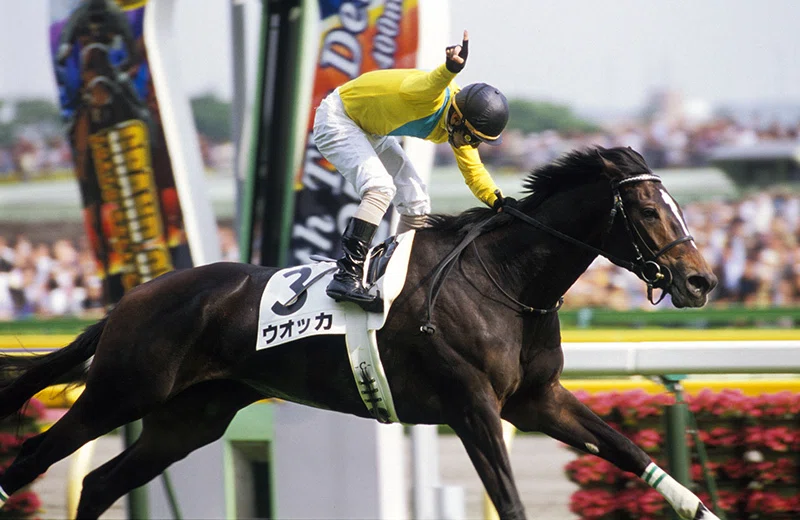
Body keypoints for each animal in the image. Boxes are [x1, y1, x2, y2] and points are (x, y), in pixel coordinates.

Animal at [0, 146, 719, 520]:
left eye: (680, 204)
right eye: (649, 209)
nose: (702, 280)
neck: (509, 282)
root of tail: (131, 298)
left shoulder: (537, 400)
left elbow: (628, 450)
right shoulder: (473, 406)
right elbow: (509, 500)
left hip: (187, 420)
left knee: (99, 483)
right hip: (120, 392)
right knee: (35, 458)